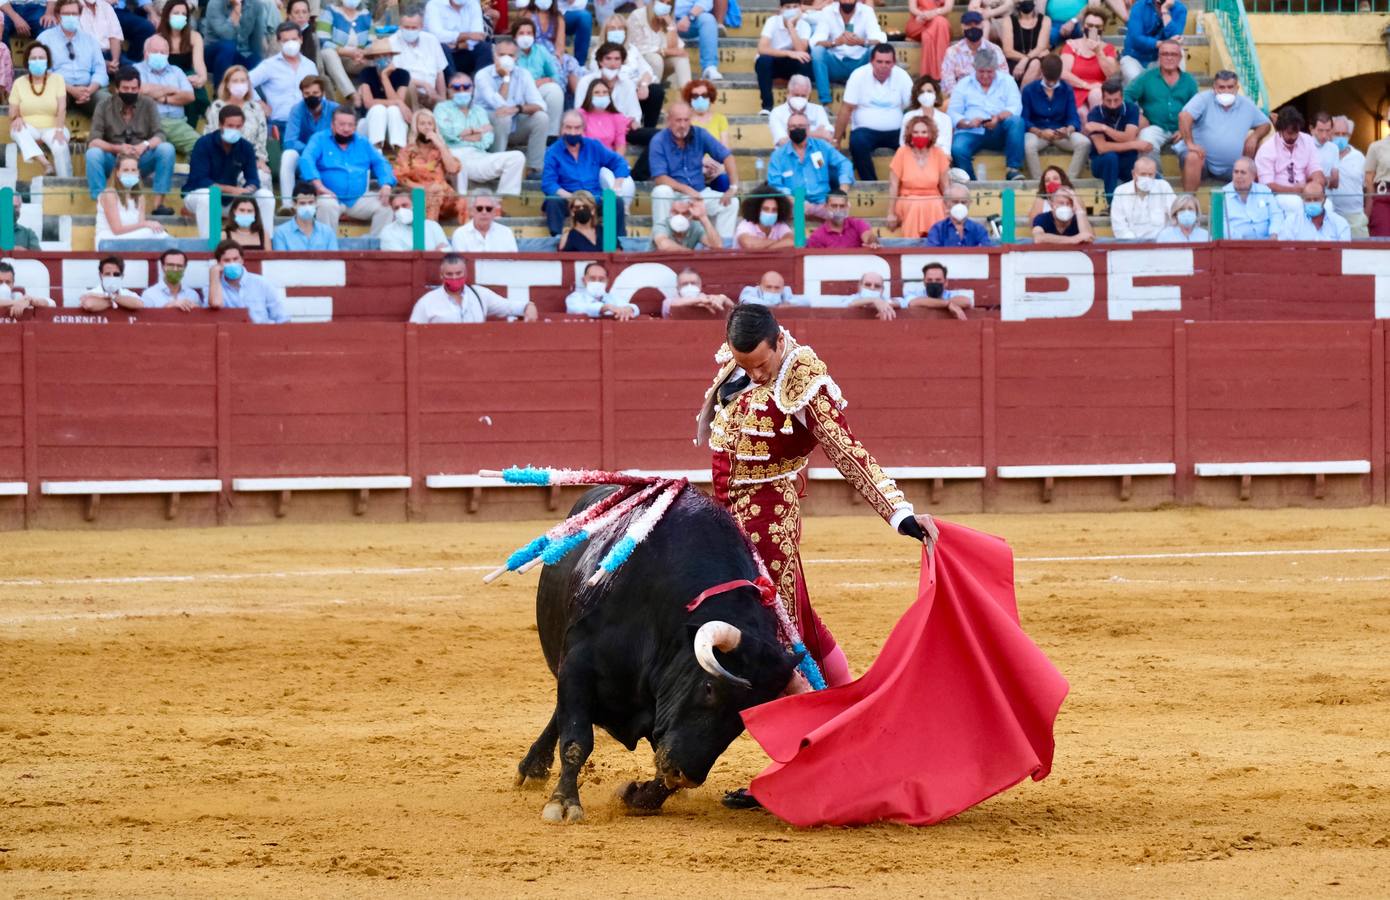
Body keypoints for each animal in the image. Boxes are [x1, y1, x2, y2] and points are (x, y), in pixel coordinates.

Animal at [514, 486, 806, 823]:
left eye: (747, 715)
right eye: (709, 688)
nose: (687, 775)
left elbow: (662, 768)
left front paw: (635, 796)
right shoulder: (577, 664)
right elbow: (576, 739)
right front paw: (563, 803)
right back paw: (532, 769)